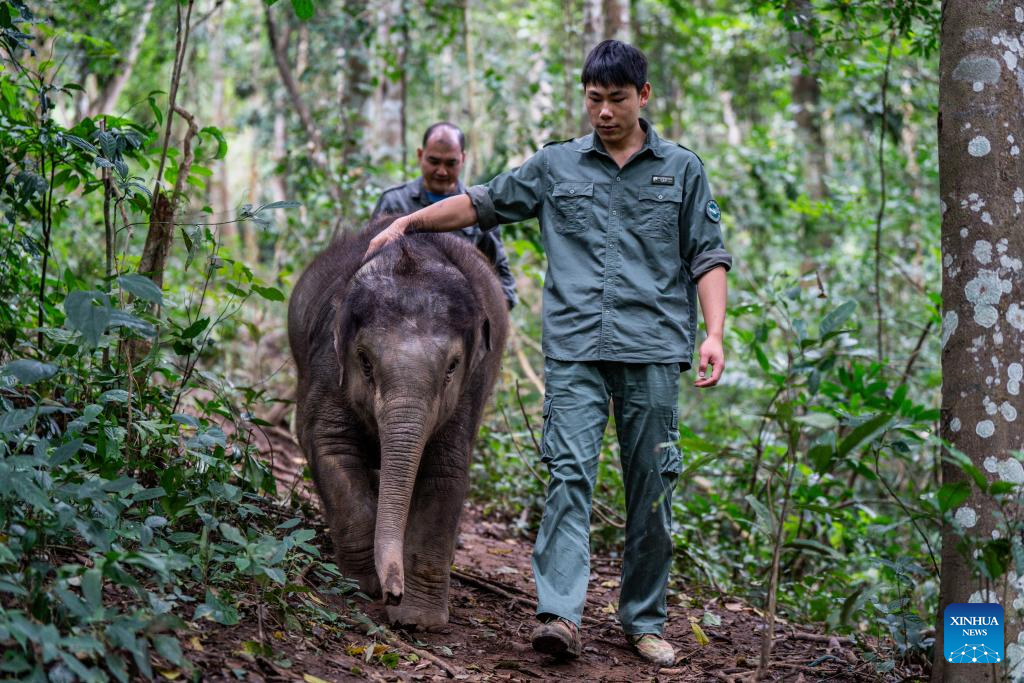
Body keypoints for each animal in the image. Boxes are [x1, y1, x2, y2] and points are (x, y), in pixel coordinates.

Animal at [286, 220, 509, 630]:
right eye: (365, 362)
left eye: (452, 367)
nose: (394, 592)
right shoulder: (328, 363)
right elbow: (330, 444)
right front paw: (362, 585)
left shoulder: (470, 389)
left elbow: (445, 469)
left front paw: (418, 620)